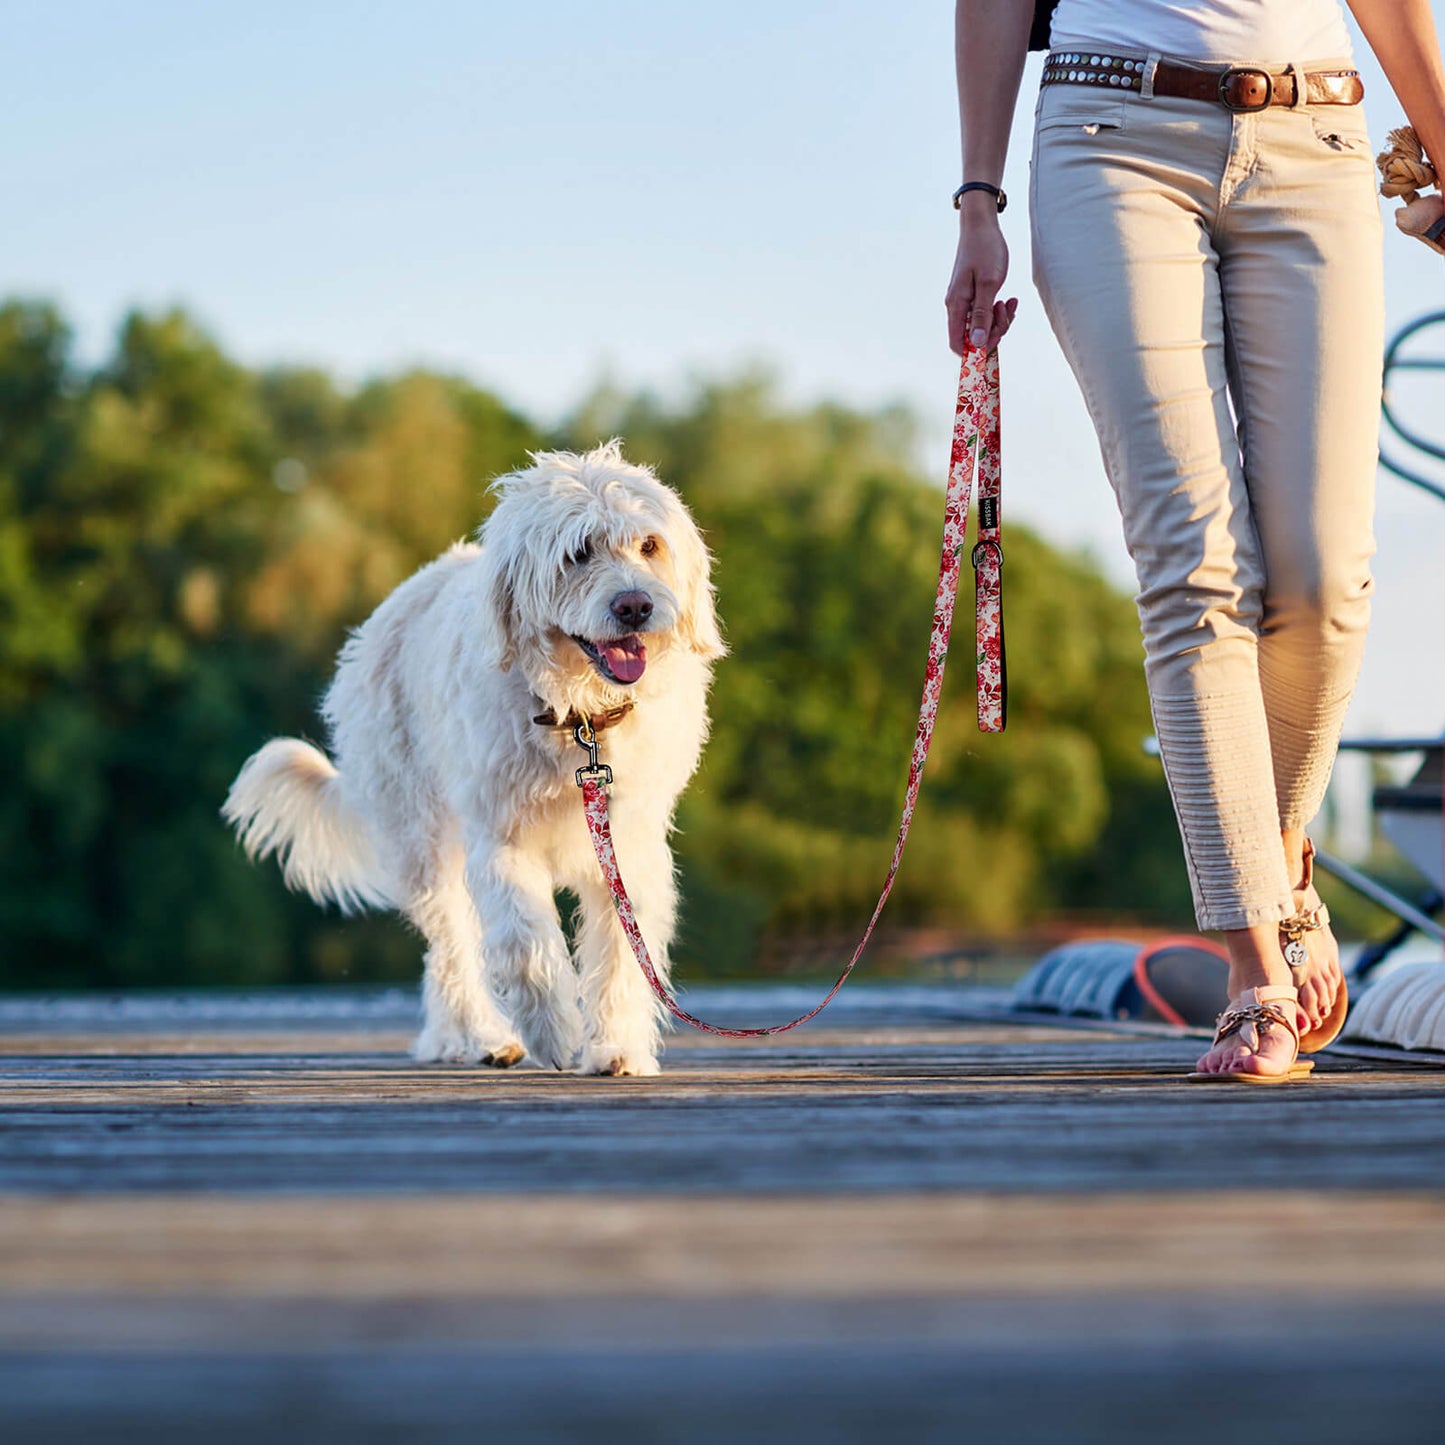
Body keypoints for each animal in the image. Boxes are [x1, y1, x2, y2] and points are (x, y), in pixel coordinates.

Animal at [223, 445, 722, 1080]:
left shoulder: (626, 845)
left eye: (649, 545)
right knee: (452, 948)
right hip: (424, 843)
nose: (635, 605)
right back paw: (480, 1036)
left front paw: (617, 1049)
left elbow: (621, 952)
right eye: (578, 553)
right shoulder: (500, 839)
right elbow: (523, 943)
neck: (577, 716)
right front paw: (553, 1034)